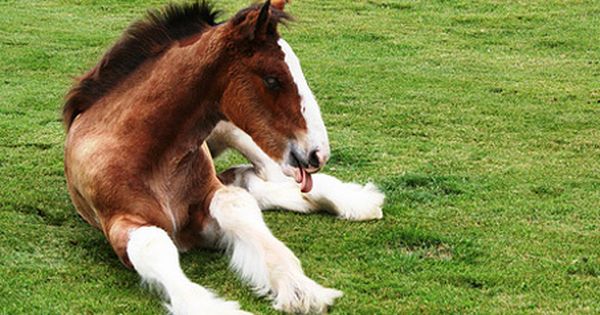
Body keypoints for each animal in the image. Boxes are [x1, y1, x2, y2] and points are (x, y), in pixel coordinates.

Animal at [63, 1, 342, 314]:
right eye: (272, 80)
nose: (318, 153)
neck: (148, 153)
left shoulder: (209, 200)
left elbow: (236, 205)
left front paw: (298, 286)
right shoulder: (118, 220)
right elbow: (153, 244)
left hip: (235, 129)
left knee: (268, 174)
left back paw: (356, 202)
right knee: (251, 178)